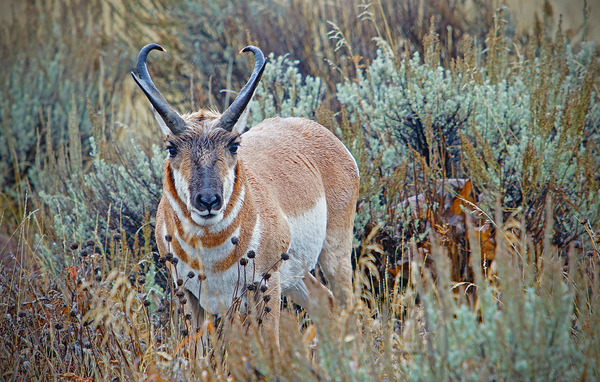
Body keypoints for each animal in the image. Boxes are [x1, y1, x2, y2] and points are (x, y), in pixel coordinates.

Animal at [131, 43, 358, 348]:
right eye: (172, 148)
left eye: (234, 145)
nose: (208, 201)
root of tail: (315, 129)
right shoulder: (188, 296)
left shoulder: (266, 286)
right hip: (296, 277)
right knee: (325, 302)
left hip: (333, 255)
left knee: (348, 306)